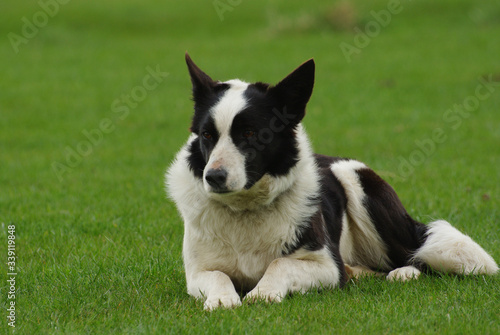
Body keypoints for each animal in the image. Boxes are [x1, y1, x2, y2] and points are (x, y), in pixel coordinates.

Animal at [166, 53, 498, 312]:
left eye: (250, 134)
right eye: (207, 135)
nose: (213, 177)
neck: (245, 210)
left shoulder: (327, 266)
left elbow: (280, 263)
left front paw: (264, 292)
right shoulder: (197, 272)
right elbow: (218, 276)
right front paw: (223, 299)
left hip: (359, 184)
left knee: (410, 255)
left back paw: (403, 273)